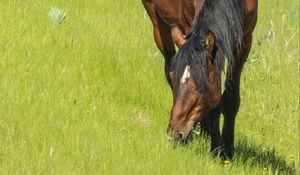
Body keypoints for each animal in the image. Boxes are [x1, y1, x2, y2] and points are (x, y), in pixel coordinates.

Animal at [166, 0, 258, 159]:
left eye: (201, 84)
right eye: (174, 78)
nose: (175, 133)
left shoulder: (244, 41)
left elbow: (231, 100)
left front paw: (227, 151)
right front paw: (216, 148)